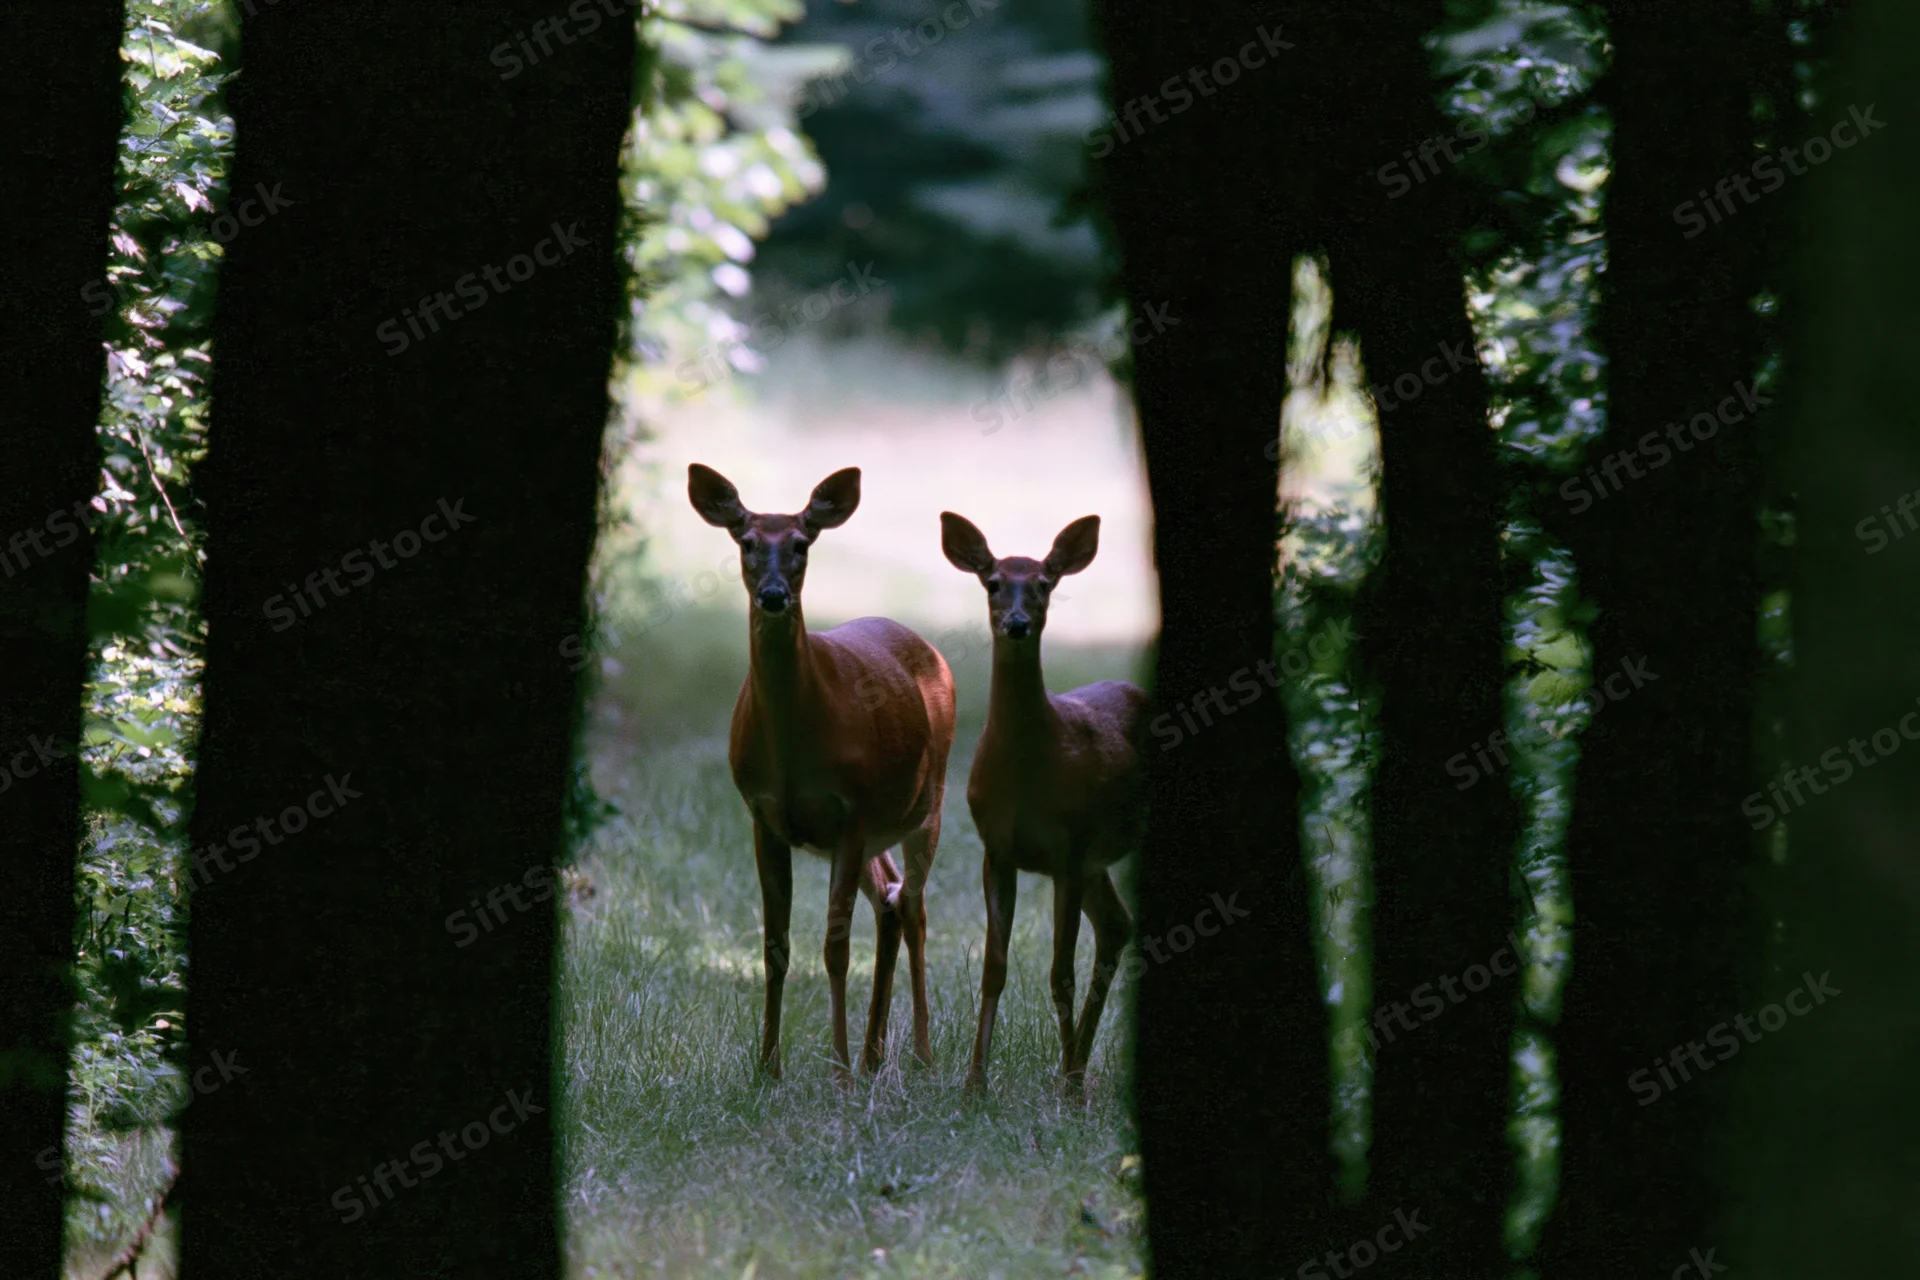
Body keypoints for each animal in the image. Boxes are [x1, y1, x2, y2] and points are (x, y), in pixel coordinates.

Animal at [689, 463, 956, 1082]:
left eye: (801, 543)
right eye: (746, 541)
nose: (773, 595)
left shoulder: (850, 811)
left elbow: (835, 948)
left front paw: (835, 1069)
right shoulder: (763, 816)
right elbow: (775, 946)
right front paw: (767, 1067)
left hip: (927, 803)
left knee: (913, 905)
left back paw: (919, 1054)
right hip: (873, 832)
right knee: (890, 899)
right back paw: (874, 1054)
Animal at [940, 511, 1146, 1097]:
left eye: (1044, 584)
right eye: (992, 582)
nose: (1016, 623)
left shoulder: (1068, 852)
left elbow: (1060, 974)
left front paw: (1070, 1088)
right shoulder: (997, 850)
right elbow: (995, 969)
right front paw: (974, 1082)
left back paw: (1075, 1073)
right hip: (1096, 860)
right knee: (1117, 925)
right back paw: (1075, 1065)